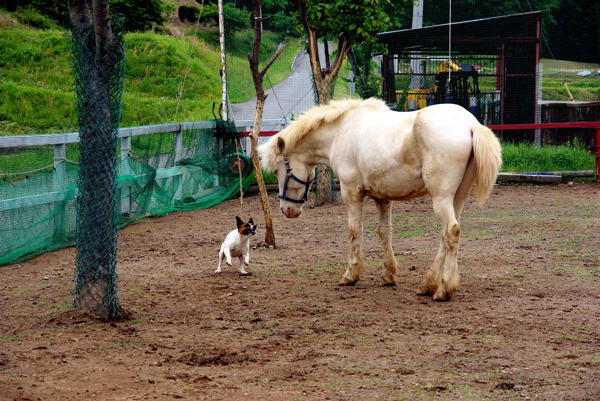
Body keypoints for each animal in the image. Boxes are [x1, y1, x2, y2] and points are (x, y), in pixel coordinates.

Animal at [258, 98, 502, 300]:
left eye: (278, 170)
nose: (287, 210)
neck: (341, 131)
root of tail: (471, 125)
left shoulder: (351, 192)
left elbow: (354, 231)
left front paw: (351, 274)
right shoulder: (382, 198)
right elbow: (384, 232)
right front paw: (389, 275)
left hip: (441, 198)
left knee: (451, 232)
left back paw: (443, 290)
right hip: (456, 199)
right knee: (446, 236)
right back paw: (428, 284)